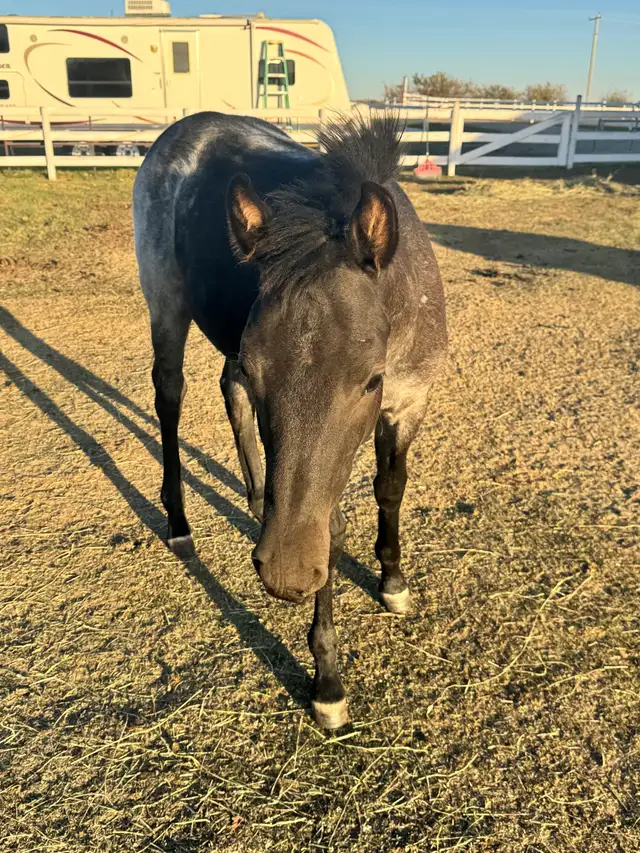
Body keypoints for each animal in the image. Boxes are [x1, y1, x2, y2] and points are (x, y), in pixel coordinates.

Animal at [133, 112, 447, 728]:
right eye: (263, 370)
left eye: (370, 379)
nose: (284, 574)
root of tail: (184, 129)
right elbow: (332, 531)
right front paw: (327, 682)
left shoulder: (410, 401)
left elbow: (390, 488)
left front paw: (392, 580)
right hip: (167, 308)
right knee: (170, 399)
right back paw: (179, 523)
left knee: (226, 392)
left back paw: (257, 498)